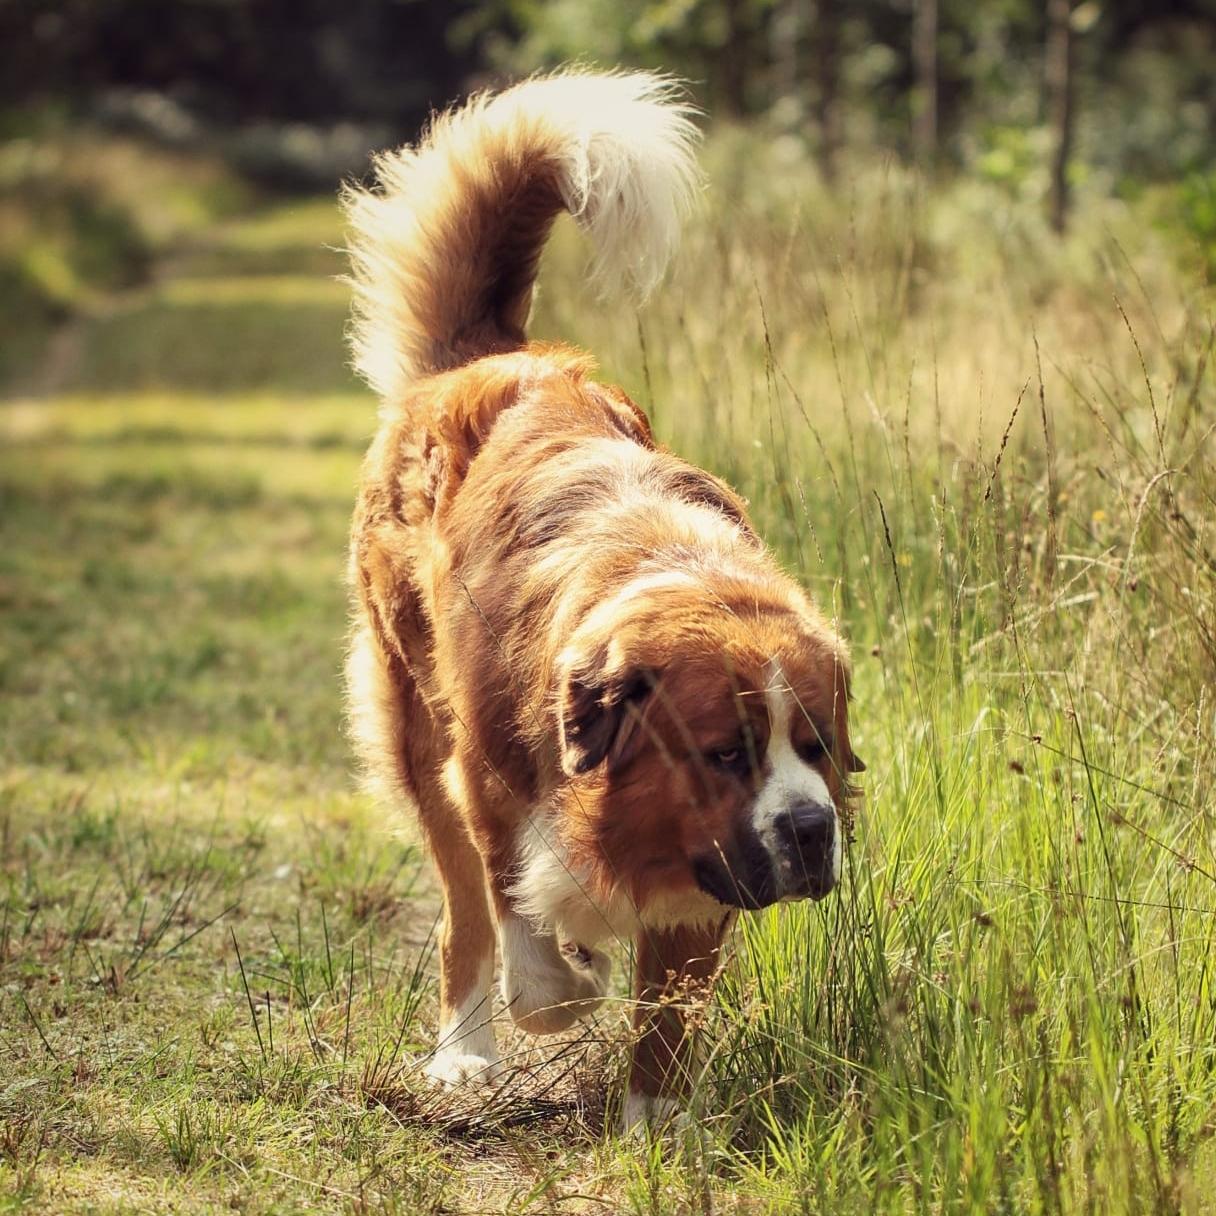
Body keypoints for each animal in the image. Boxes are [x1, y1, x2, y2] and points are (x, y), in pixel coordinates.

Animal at [342, 70, 861, 1131]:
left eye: (819, 749)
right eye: (725, 753)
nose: (808, 828)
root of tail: (483, 354)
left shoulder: (705, 867)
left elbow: (668, 1009)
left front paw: (655, 1127)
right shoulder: (493, 782)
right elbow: (536, 955)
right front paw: (569, 975)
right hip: (419, 735)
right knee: (465, 921)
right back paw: (465, 1052)